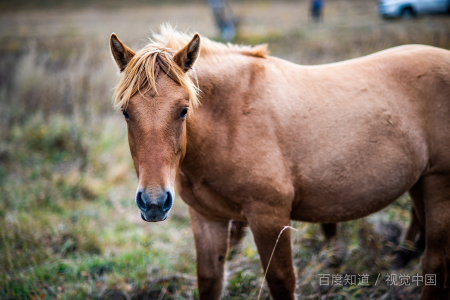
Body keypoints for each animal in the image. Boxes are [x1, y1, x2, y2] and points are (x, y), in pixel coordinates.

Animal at [110, 26, 450, 300]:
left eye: (183, 110)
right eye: (126, 112)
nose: (153, 203)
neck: (231, 118)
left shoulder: (269, 217)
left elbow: (281, 281)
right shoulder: (207, 219)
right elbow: (209, 282)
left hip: (438, 185)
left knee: (434, 261)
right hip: (419, 184)